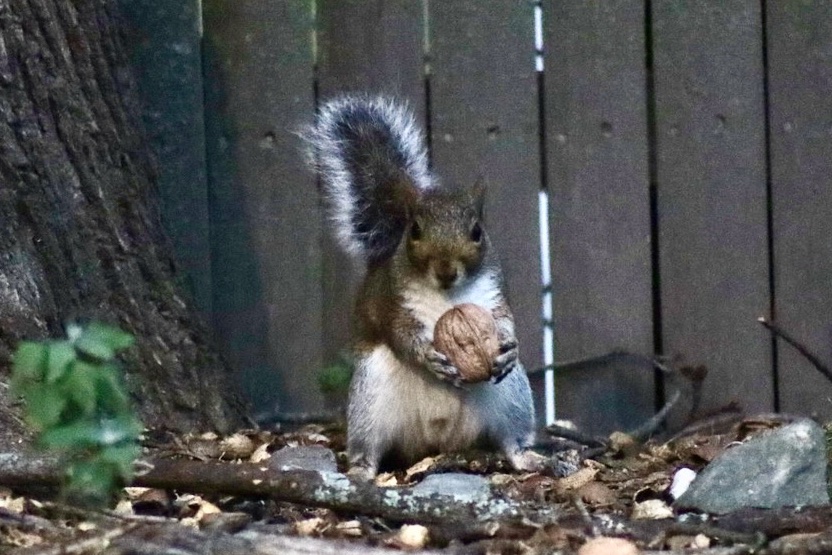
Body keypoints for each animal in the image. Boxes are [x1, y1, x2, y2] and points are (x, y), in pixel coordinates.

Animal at [304, 95, 540, 479]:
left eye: (477, 231)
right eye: (414, 230)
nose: (446, 270)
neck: (446, 295)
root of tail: (436, 441)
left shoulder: (493, 292)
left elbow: (504, 319)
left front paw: (508, 345)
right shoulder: (392, 302)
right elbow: (401, 334)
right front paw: (429, 356)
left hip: (511, 397)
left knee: (512, 438)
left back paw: (528, 458)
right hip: (371, 399)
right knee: (367, 447)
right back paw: (361, 470)